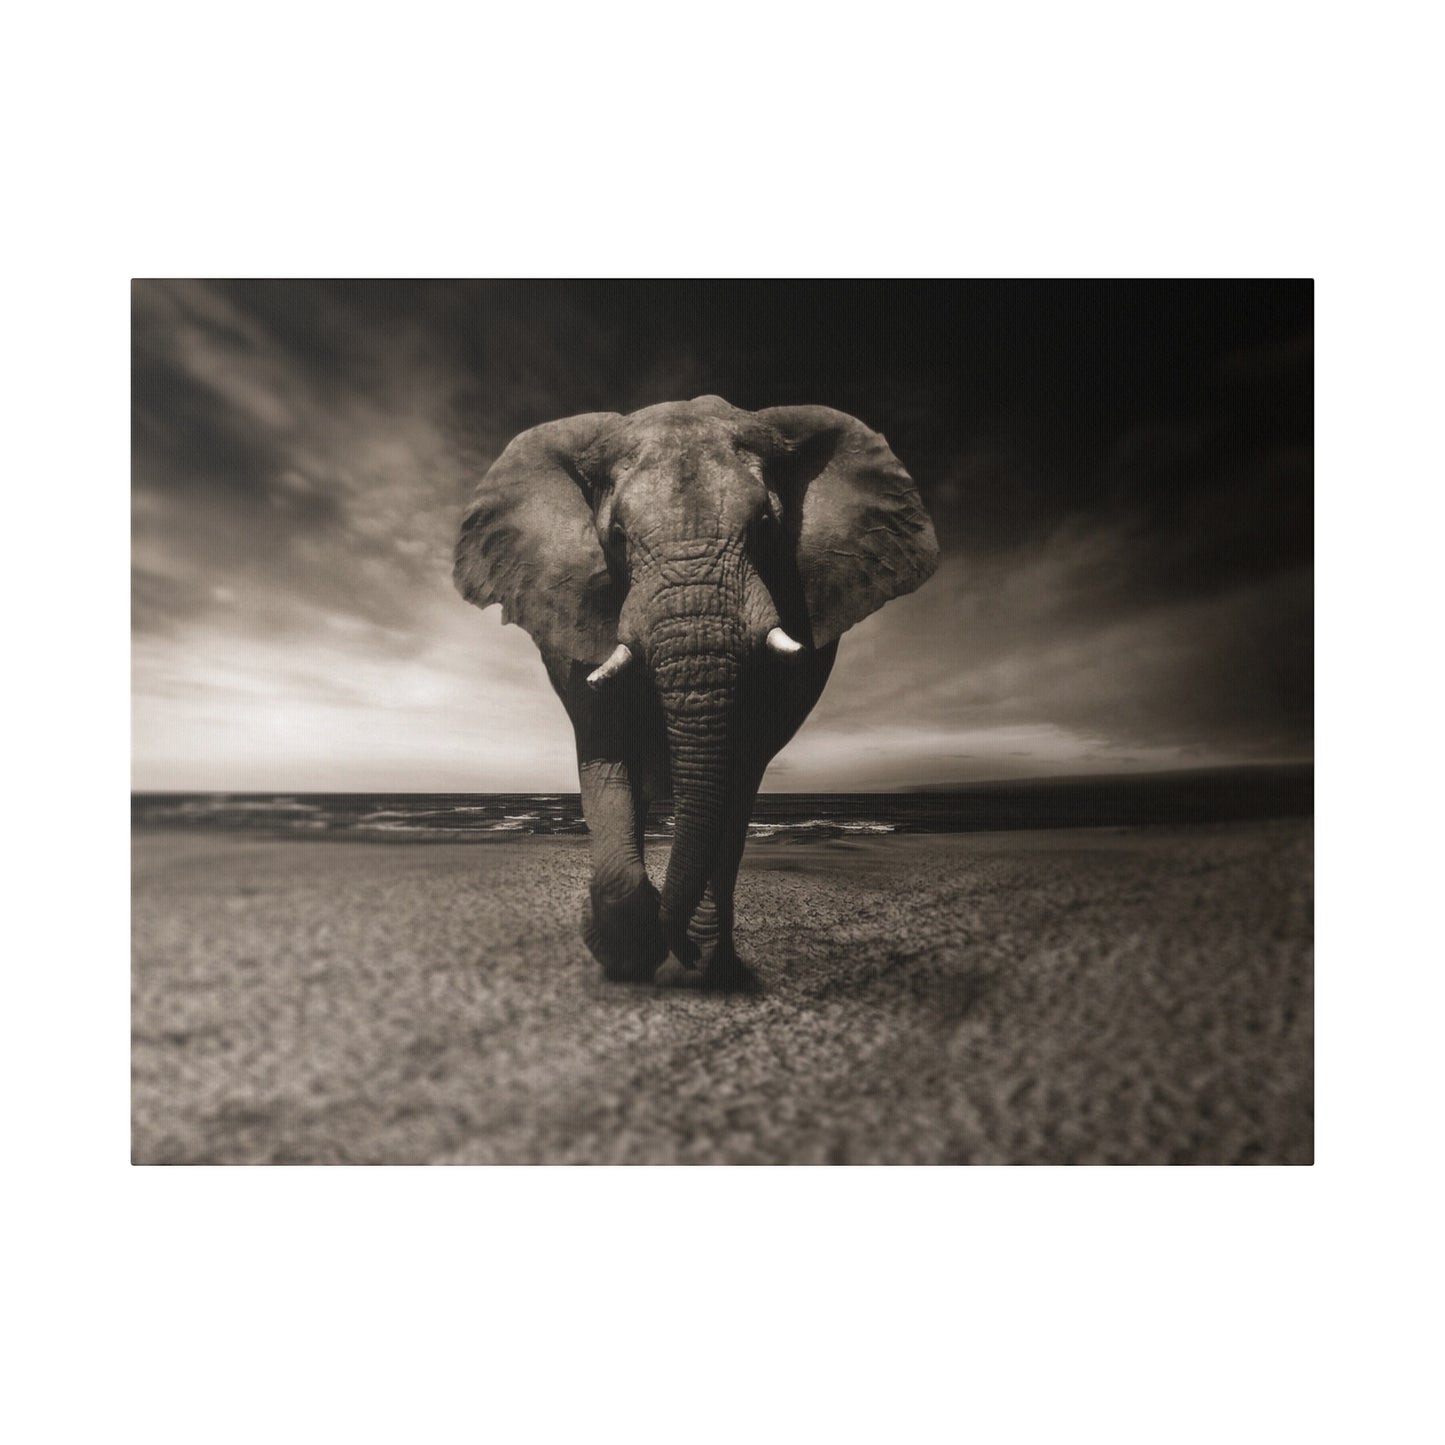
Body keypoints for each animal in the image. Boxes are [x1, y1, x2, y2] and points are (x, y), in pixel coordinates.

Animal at [456, 395, 942, 988]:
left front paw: (687, 955)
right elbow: (606, 751)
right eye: (617, 537)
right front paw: (626, 948)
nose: (678, 946)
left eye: (765, 527)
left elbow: (734, 776)